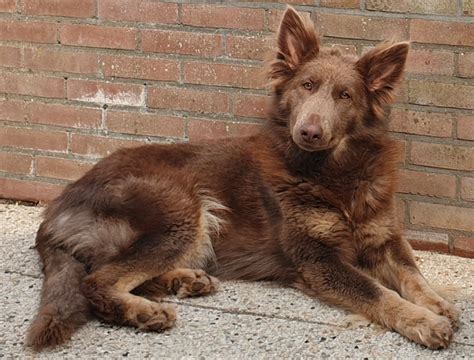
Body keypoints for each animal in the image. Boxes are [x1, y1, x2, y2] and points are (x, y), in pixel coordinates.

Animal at [26, 7, 460, 352]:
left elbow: (412, 274)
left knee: (117, 271)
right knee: (98, 280)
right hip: (182, 207)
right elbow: (377, 291)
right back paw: (145, 312)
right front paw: (423, 321)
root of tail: (55, 210)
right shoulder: (318, 260)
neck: (333, 173)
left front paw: (436, 303)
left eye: (345, 96)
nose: (309, 132)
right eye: (306, 86)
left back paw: (184, 281)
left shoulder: (385, 237)